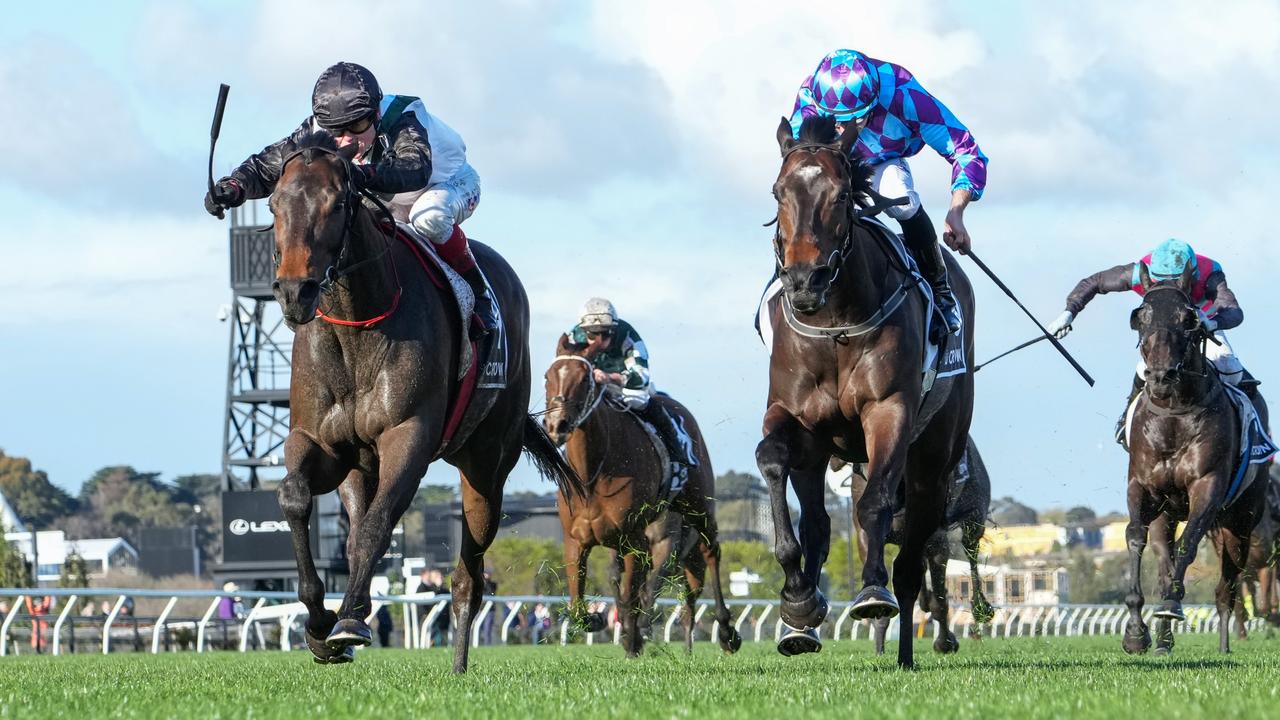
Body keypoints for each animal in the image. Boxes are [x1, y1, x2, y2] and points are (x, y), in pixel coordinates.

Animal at [275, 131, 586, 671]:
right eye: (274, 204)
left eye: (335, 204)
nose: (296, 292)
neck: (356, 326)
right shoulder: (320, 441)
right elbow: (296, 498)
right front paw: (318, 623)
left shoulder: (410, 437)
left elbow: (378, 526)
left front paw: (348, 622)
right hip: (362, 467)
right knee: (355, 530)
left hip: (486, 466)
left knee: (469, 576)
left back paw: (458, 663)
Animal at [540, 335, 742, 655]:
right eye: (548, 377)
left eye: (584, 378)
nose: (556, 425)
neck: (592, 477)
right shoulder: (576, 540)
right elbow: (579, 603)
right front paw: (601, 621)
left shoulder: (638, 540)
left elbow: (636, 593)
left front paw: (634, 635)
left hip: (698, 508)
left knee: (711, 553)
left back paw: (726, 632)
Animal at [752, 113, 972, 666]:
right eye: (778, 192)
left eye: (842, 193)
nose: (804, 280)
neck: (833, 320)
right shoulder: (791, 415)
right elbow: (772, 462)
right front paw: (798, 600)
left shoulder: (888, 410)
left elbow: (873, 505)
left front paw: (872, 592)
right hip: (821, 453)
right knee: (818, 524)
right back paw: (801, 623)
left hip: (933, 463)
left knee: (913, 559)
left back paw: (905, 652)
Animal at [849, 435, 998, 653]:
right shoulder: (865, 537)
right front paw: (879, 646)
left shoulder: (937, 540)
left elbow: (940, 599)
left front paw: (945, 643)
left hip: (974, 515)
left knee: (971, 554)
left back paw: (981, 607)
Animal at [1126, 265, 1264, 655]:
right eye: (1140, 317)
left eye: (1188, 319)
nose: (1160, 376)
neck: (1174, 414)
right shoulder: (1142, 487)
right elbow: (1136, 537)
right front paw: (1136, 632)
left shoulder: (1208, 487)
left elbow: (1189, 543)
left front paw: (1172, 606)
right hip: (1168, 514)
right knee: (1163, 559)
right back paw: (1162, 641)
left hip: (1240, 523)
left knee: (1227, 586)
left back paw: (1224, 645)